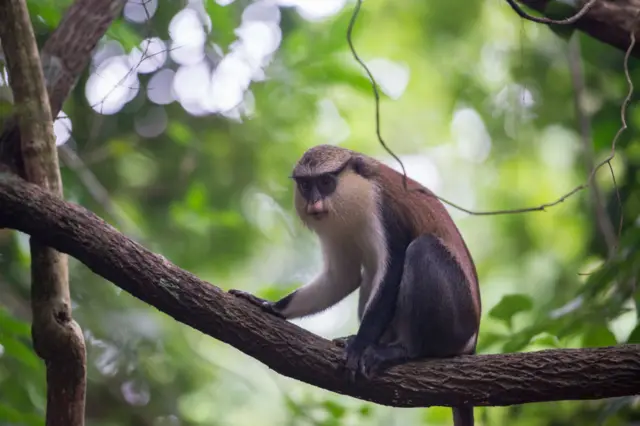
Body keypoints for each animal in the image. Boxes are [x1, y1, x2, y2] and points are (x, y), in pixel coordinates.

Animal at [229, 144, 480, 426]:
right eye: (305, 185)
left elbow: (393, 268)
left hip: (456, 325)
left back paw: (402, 349)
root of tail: (471, 344)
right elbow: (342, 276)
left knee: (422, 248)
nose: (314, 204)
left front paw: (359, 348)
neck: (356, 189)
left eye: (326, 182)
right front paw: (270, 306)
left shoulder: (383, 211)